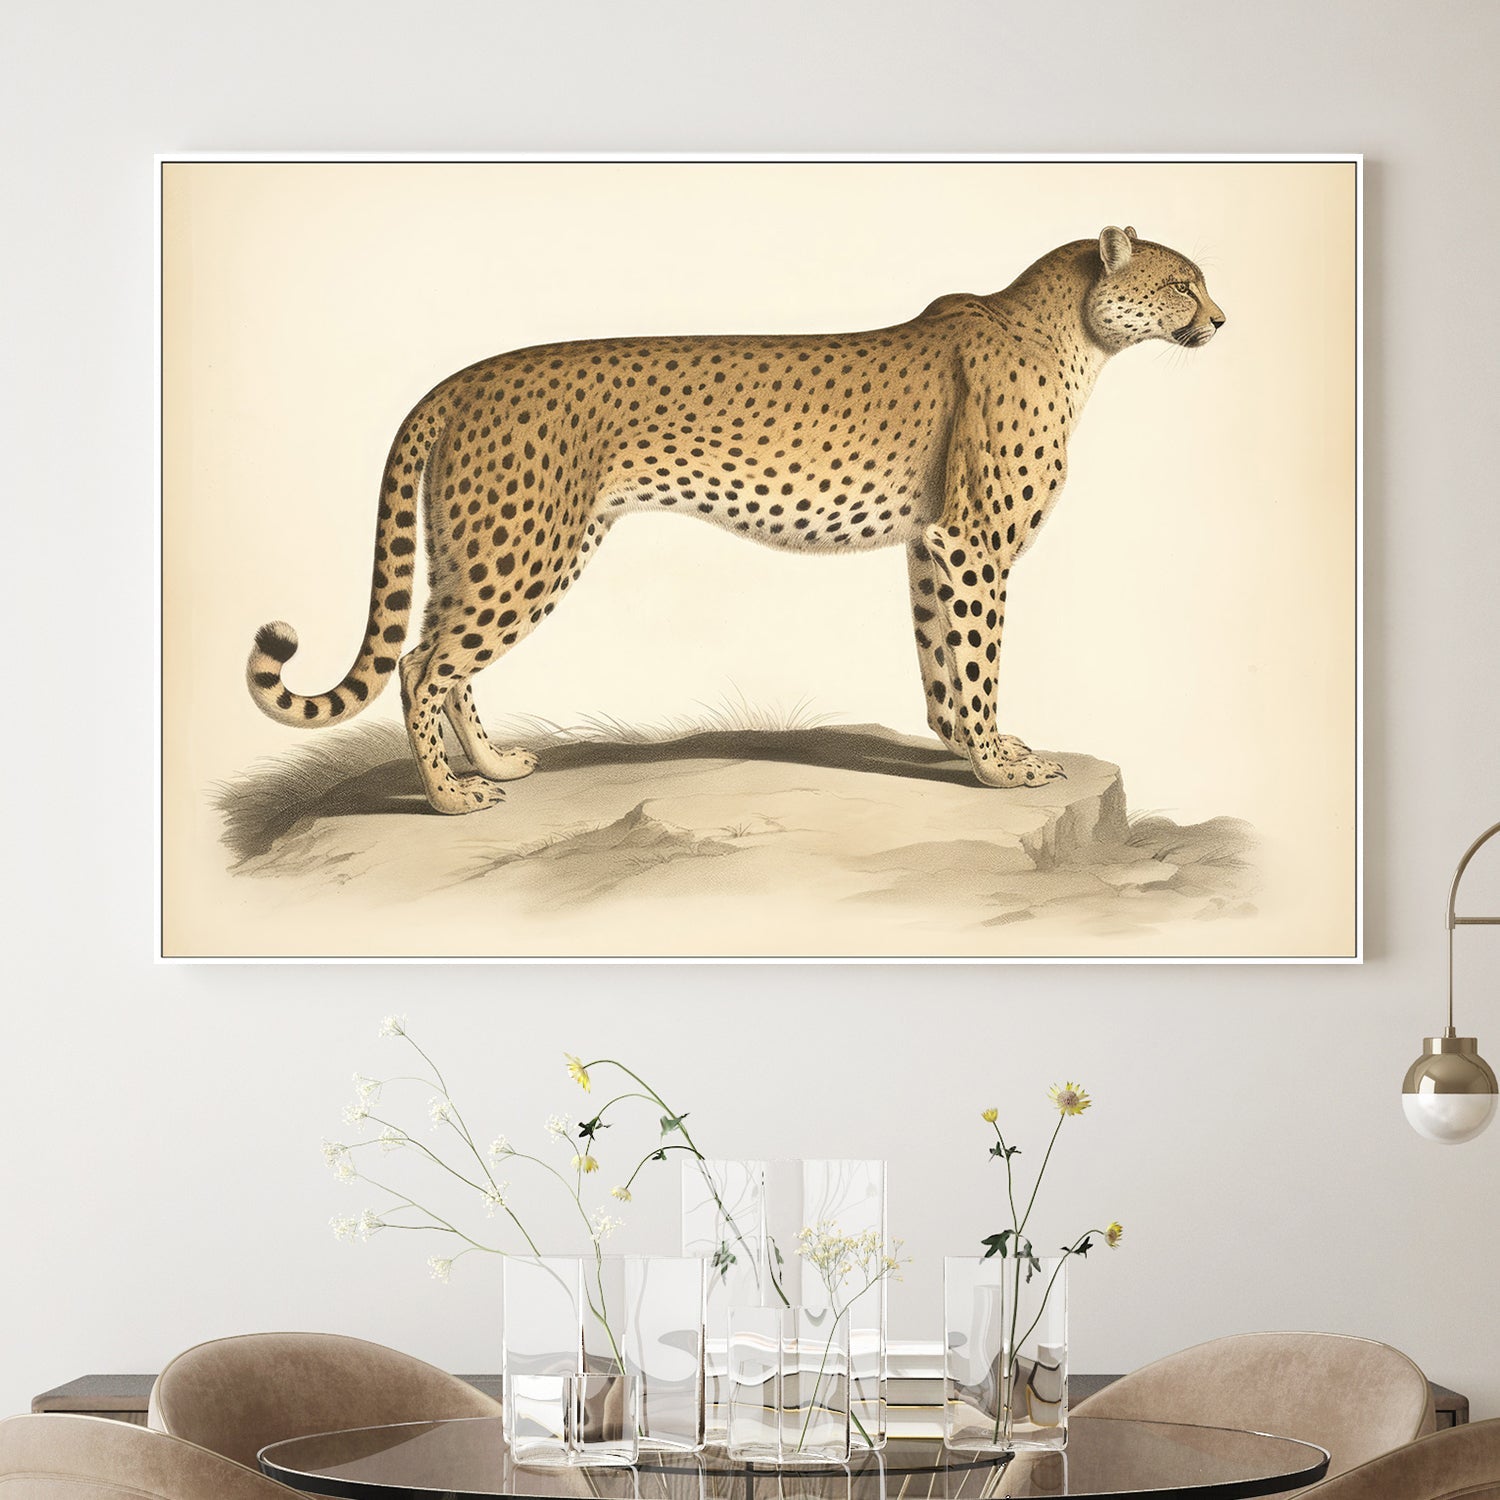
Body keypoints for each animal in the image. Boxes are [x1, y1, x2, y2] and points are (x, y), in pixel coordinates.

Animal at [247, 226, 1225, 815]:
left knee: (440, 662)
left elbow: (939, 662)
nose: (1219, 319)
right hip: (520, 557)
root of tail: (458, 380)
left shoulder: (930, 542)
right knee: (420, 666)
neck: (1076, 334)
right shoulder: (975, 543)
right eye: (1183, 284)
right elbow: (977, 662)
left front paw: (965, 748)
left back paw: (492, 767)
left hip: (478, 555)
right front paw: (1001, 766)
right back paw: (452, 799)